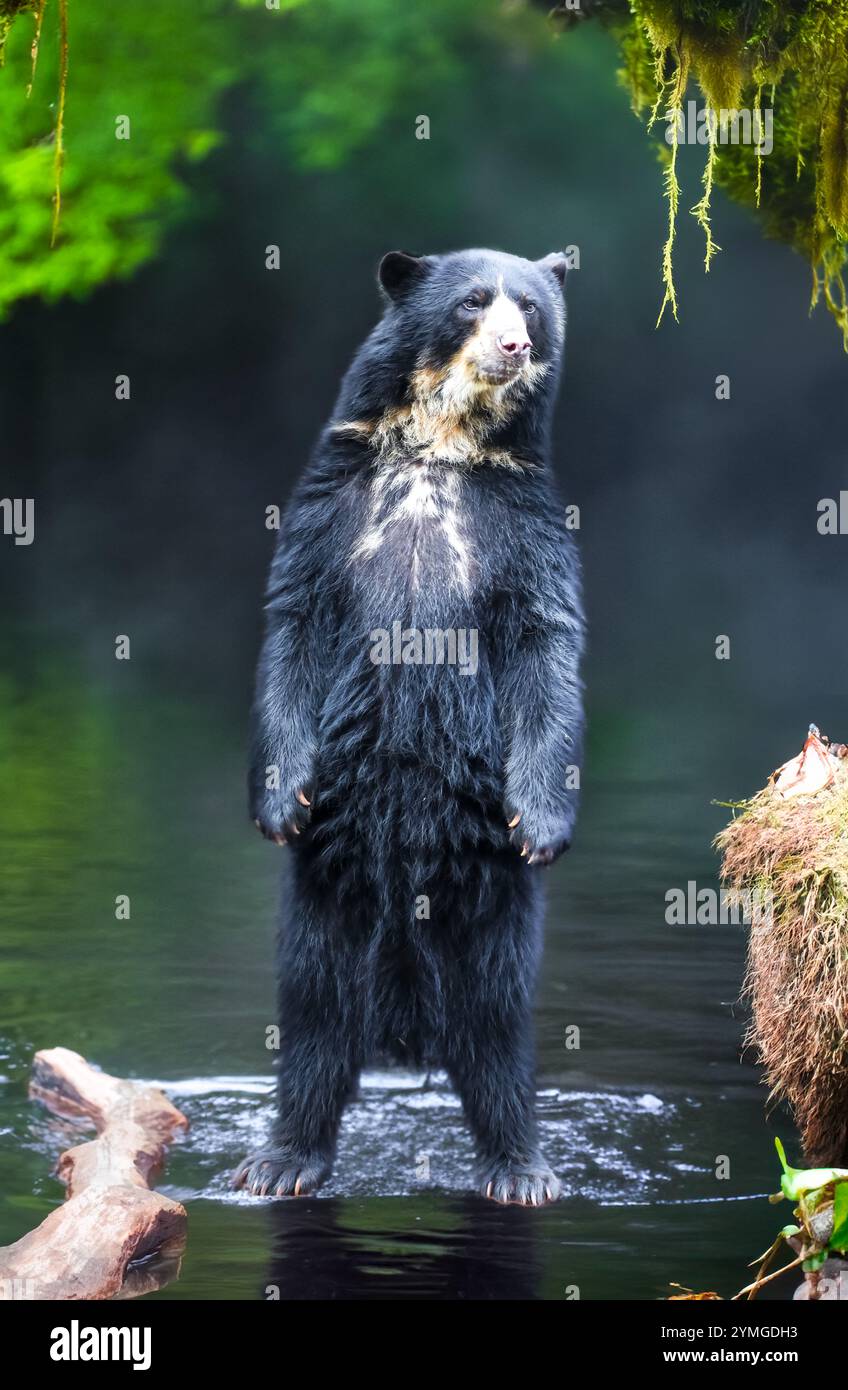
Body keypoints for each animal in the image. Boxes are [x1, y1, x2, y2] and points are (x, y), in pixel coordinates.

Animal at [233, 247, 584, 1206]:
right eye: (473, 301)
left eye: (531, 307)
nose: (513, 344)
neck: (441, 447)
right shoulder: (329, 508)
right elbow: (293, 625)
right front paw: (280, 801)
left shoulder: (526, 530)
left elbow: (546, 647)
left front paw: (542, 824)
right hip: (326, 897)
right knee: (314, 1024)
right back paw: (280, 1160)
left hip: (489, 908)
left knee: (496, 1032)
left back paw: (520, 1167)